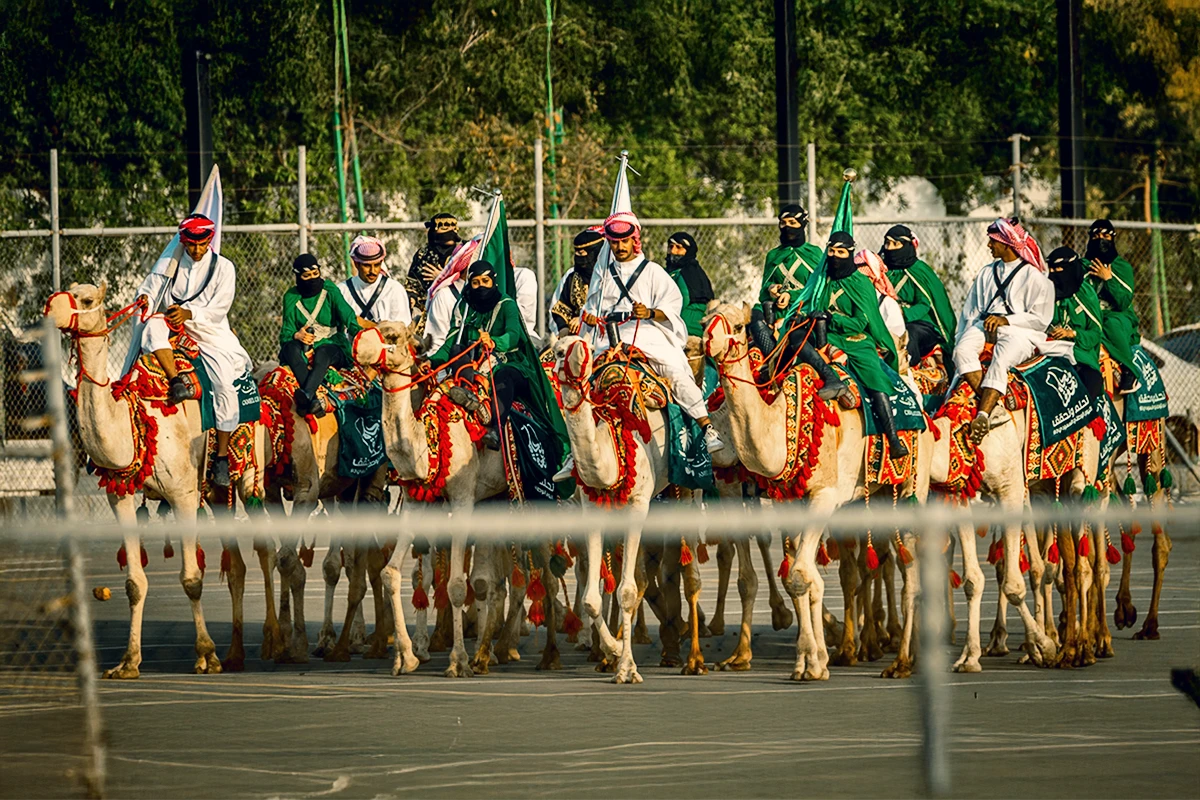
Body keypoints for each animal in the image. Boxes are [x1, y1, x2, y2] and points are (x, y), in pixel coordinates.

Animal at [45, 284, 274, 681]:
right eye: (65, 290)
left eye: (86, 299)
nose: (48, 309)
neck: (137, 419)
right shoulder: (120, 498)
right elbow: (134, 583)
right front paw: (128, 662)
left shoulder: (182, 493)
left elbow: (191, 578)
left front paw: (206, 655)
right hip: (217, 493)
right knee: (237, 567)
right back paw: (236, 655)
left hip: (250, 476)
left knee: (266, 550)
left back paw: (279, 645)